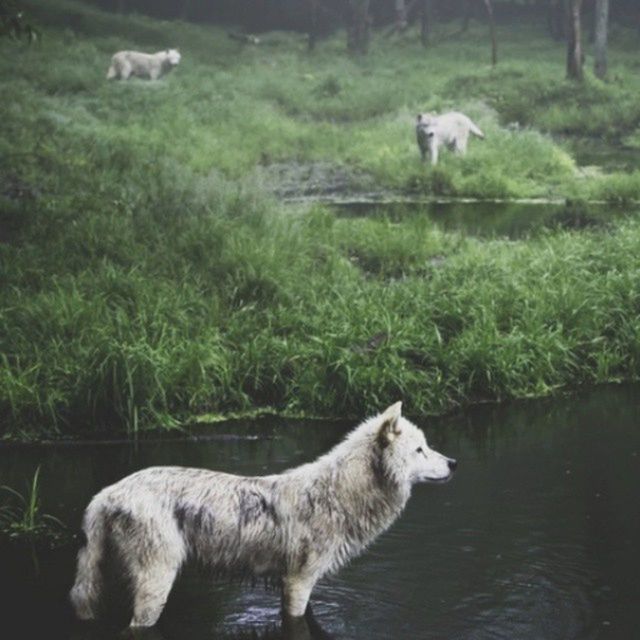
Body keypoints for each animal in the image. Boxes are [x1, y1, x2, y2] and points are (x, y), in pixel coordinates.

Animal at [70, 402, 458, 628]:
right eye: (420, 450)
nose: (454, 463)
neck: (339, 493)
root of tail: (106, 493)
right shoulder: (297, 583)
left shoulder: (298, 584)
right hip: (156, 586)